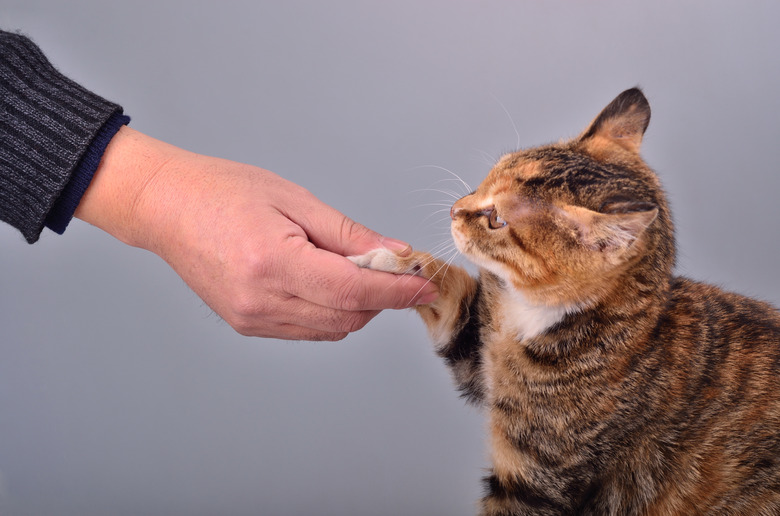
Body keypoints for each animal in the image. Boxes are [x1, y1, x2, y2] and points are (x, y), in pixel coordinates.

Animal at [352, 89, 780, 516]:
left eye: (497, 221)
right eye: (488, 176)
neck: (525, 316)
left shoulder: (537, 477)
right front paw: (392, 260)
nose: (455, 209)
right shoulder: (476, 353)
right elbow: (453, 299)